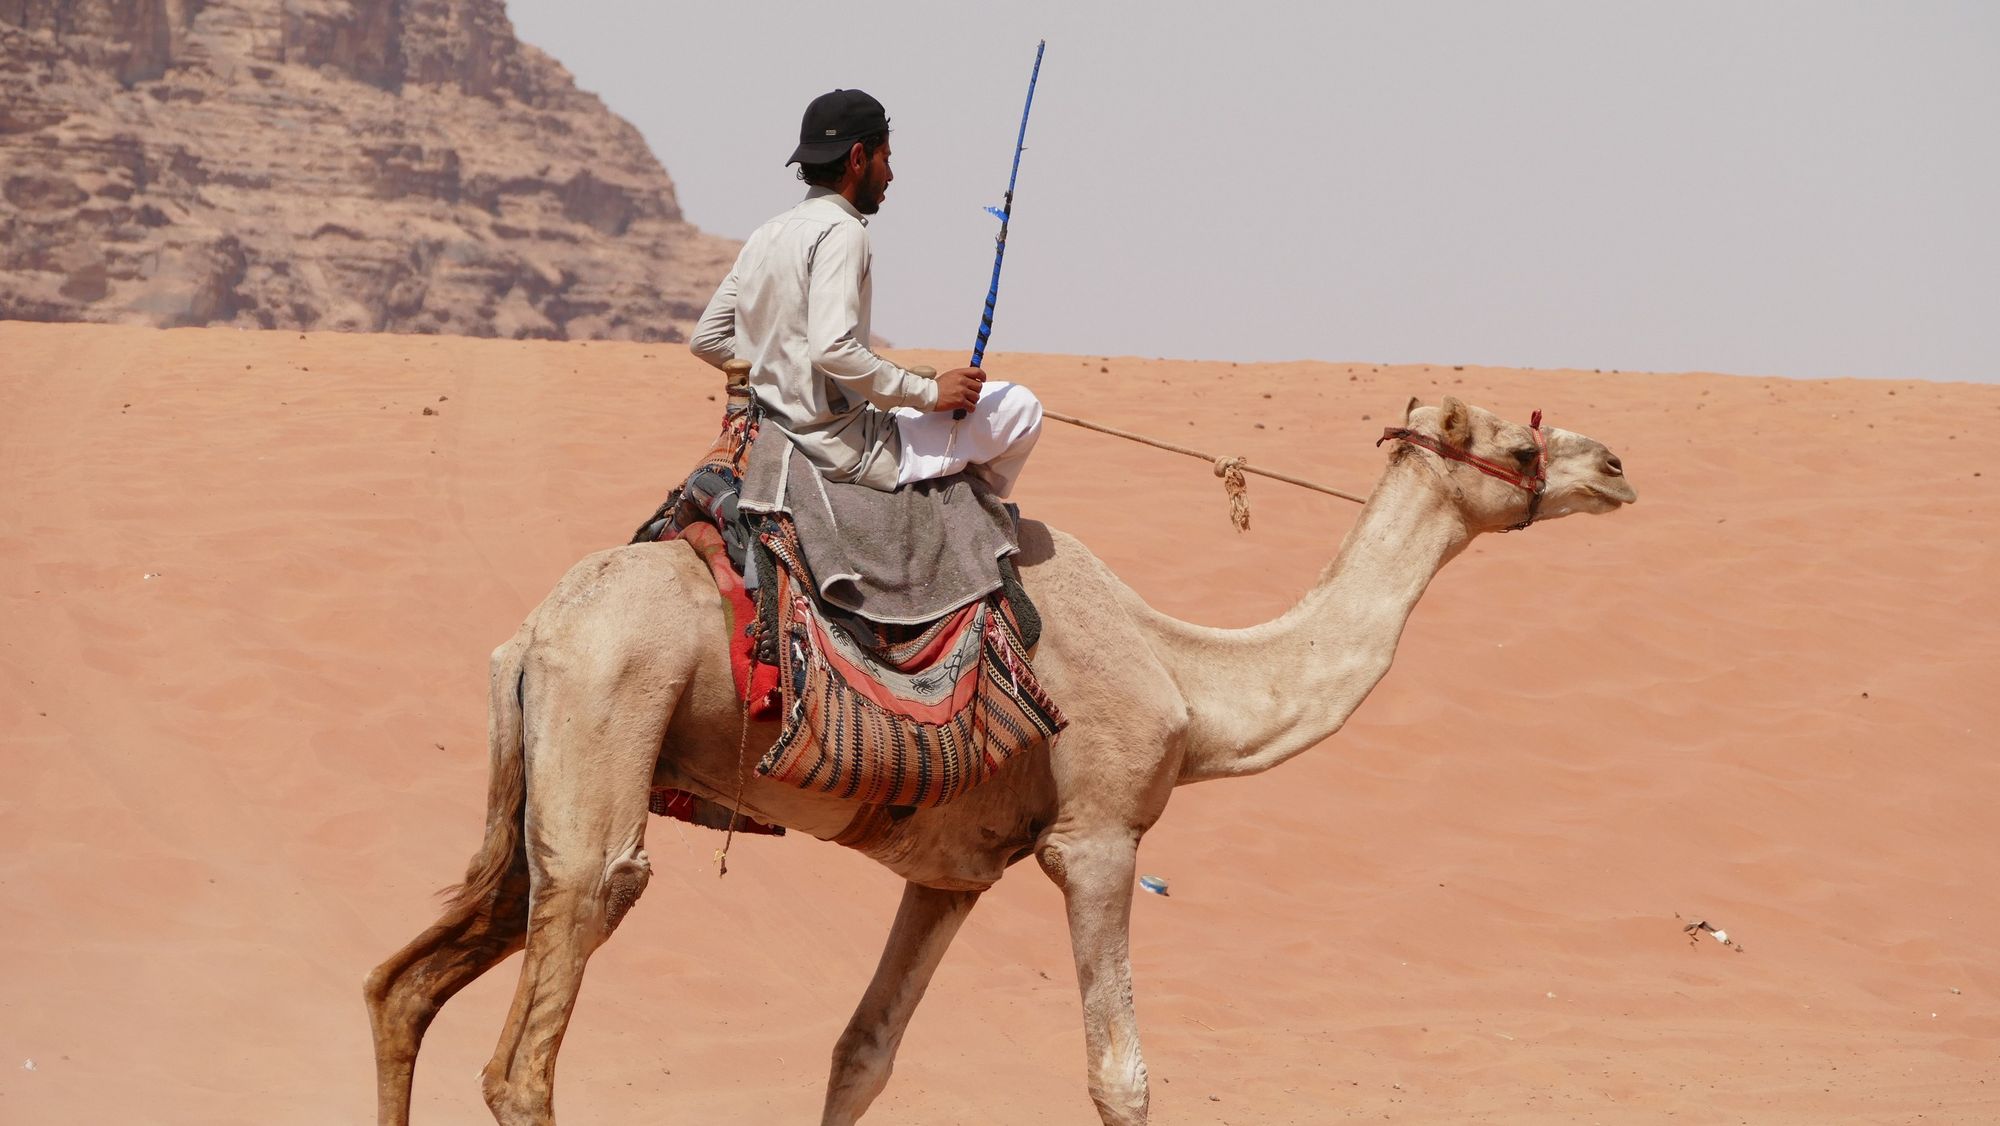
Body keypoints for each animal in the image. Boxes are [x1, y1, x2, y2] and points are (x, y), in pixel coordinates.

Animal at [365, 395, 1636, 1126]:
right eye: (1519, 440)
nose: (1617, 463)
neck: (1186, 679)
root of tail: (531, 634)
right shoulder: (1098, 838)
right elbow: (1120, 1074)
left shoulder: (949, 873)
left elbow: (861, 1054)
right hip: (604, 723)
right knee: (533, 1038)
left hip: (534, 784)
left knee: (403, 986)